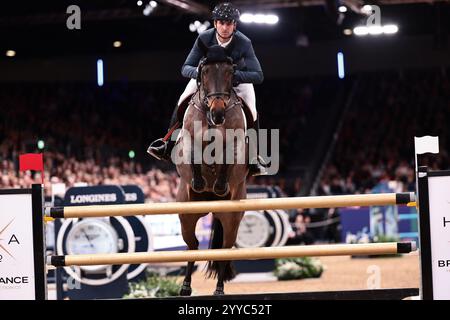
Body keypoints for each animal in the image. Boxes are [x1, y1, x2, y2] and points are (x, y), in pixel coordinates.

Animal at [173, 43, 250, 296]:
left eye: (230, 72)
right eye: (204, 71)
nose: (218, 113)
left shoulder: (234, 143)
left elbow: (226, 158)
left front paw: (219, 184)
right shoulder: (189, 138)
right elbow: (193, 153)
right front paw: (199, 181)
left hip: (231, 216)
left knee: (224, 249)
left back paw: (218, 289)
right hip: (187, 214)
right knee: (192, 246)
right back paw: (185, 286)